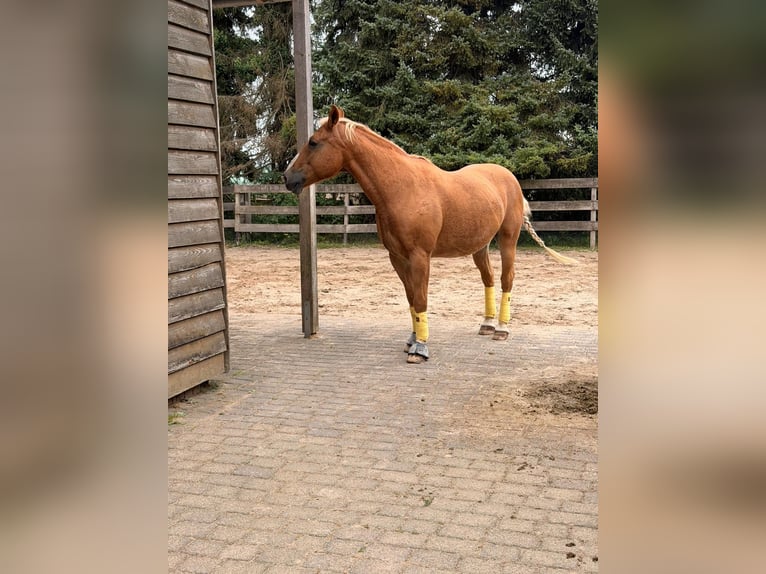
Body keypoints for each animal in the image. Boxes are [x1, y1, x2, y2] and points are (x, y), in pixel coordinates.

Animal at [285, 105, 577, 364]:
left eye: (313, 142)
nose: (287, 177)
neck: (402, 189)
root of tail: (509, 178)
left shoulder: (420, 256)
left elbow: (422, 298)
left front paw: (421, 348)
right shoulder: (397, 258)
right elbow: (411, 298)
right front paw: (413, 339)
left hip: (508, 239)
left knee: (507, 278)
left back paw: (502, 329)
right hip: (480, 246)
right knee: (489, 279)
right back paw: (487, 324)